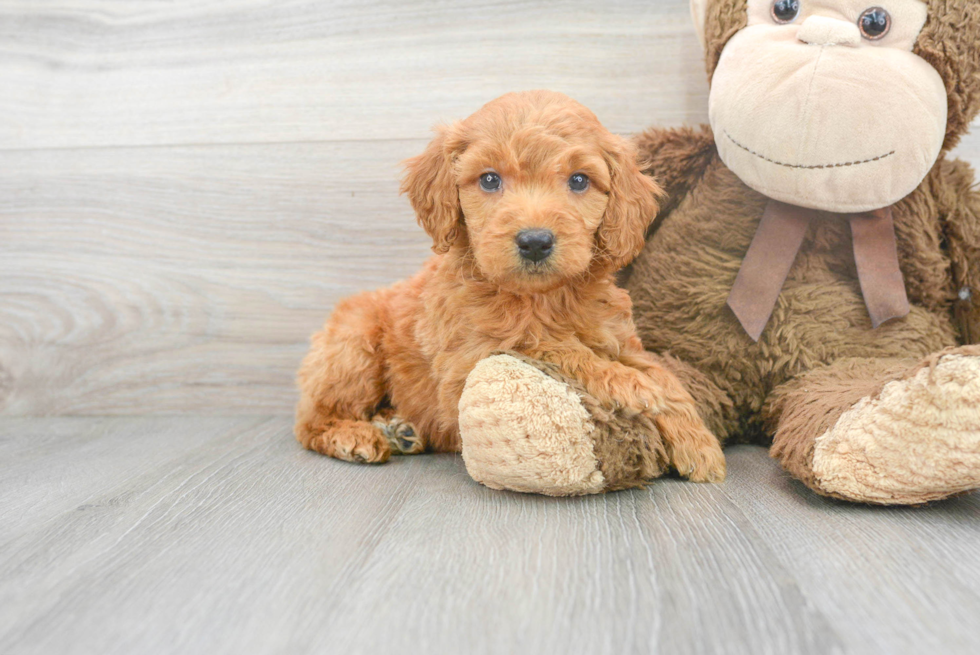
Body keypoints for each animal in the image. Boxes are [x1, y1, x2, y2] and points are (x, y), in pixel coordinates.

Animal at [294, 91, 724, 482]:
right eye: (489, 179)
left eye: (579, 180)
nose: (535, 241)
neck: (543, 298)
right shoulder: (468, 359)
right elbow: (550, 344)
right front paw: (627, 384)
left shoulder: (619, 338)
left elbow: (664, 376)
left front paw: (699, 442)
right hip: (353, 346)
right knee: (311, 420)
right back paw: (356, 436)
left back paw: (399, 428)